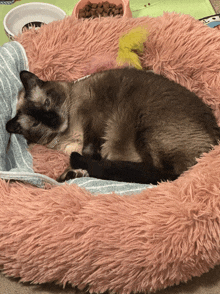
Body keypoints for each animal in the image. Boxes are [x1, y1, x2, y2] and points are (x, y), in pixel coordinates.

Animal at [5, 68, 220, 185]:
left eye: (47, 103)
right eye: (36, 123)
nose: (52, 120)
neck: (69, 132)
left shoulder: (94, 119)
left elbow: (90, 150)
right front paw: (74, 172)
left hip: (146, 127)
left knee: (162, 174)